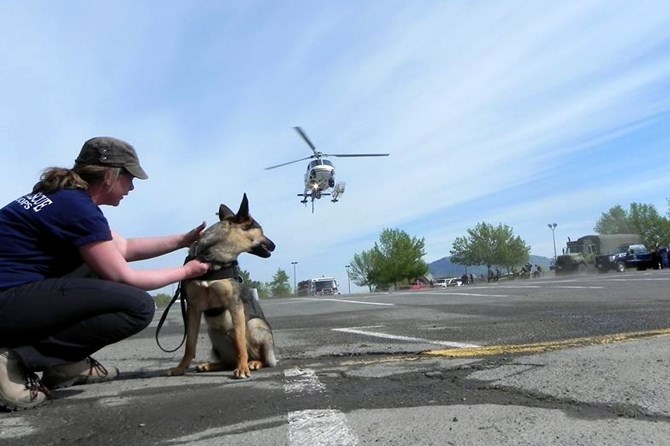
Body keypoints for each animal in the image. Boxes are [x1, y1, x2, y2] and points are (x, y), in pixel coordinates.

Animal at [171, 193, 280, 378]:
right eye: (262, 230)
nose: (274, 245)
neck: (212, 259)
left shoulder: (234, 306)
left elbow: (240, 344)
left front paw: (242, 368)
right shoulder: (193, 309)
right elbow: (189, 345)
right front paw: (180, 368)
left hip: (253, 324)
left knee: (261, 357)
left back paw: (253, 363)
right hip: (213, 332)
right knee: (227, 361)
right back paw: (211, 365)